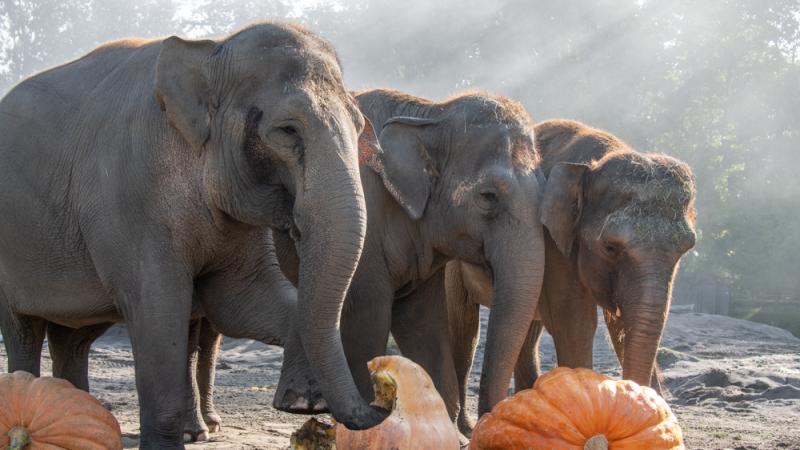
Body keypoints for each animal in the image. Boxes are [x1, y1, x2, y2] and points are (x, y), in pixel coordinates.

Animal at [0, 21, 384, 446]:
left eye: (360, 127)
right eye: (286, 130)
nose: (381, 408)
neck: (212, 50)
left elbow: (238, 301)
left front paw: (302, 401)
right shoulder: (129, 199)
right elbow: (158, 309)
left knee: (73, 338)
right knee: (23, 332)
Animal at [178, 86, 548, 438]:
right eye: (488, 196)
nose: (483, 424)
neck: (431, 111)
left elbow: (424, 324)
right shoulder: (367, 233)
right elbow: (368, 319)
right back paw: (201, 429)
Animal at [444, 118, 692, 434]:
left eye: (686, 248)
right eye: (610, 247)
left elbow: (622, 324)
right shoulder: (553, 243)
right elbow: (576, 324)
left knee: (527, 331)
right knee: (465, 329)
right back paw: (465, 427)